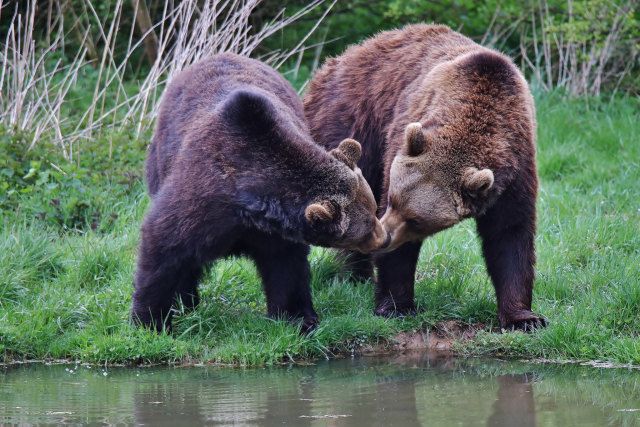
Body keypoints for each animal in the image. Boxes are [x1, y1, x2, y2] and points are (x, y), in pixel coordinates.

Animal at [132, 53, 389, 333]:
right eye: (366, 226)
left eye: (373, 208)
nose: (384, 237)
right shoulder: (201, 196)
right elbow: (164, 245)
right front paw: (150, 321)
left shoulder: (276, 231)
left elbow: (285, 266)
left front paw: (299, 317)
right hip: (159, 159)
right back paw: (187, 301)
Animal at [304, 24, 546, 331]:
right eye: (392, 200)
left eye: (416, 219)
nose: (385, 237)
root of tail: (343, 56)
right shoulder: (401, 133)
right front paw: (396, 306)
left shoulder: (516, 168)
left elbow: (510, 234)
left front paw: (524, 318)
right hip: (352, 122)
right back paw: (358, 273)